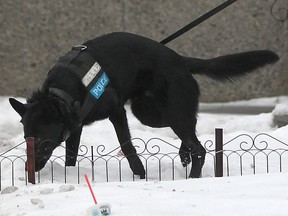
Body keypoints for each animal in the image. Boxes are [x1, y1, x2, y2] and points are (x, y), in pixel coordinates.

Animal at [9, 31, 280, 177]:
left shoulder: (117, 112)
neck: (62, 92)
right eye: (26, 139)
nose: (30, 169)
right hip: (150, 113)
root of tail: (181, 60)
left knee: (199, 147)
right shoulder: (75, 126)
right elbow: (71, 154)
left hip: (162, 112)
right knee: (191, 128)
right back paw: (184, 153)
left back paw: (193, 175)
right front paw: (69, 175)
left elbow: (127, 146)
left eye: (43, 142)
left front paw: (139, 174)